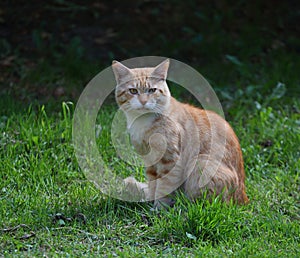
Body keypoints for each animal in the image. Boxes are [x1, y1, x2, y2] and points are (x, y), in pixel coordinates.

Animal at [112, 59, 248, 209]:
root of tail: (243, 199)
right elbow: (153, 184)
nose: (143, 101)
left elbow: (164, 186)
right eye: (133, 91)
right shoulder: (150, 161)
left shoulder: (170, 161)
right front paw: (150, 201)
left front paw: (159, 208)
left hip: (200, 162)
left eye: (152, 90)